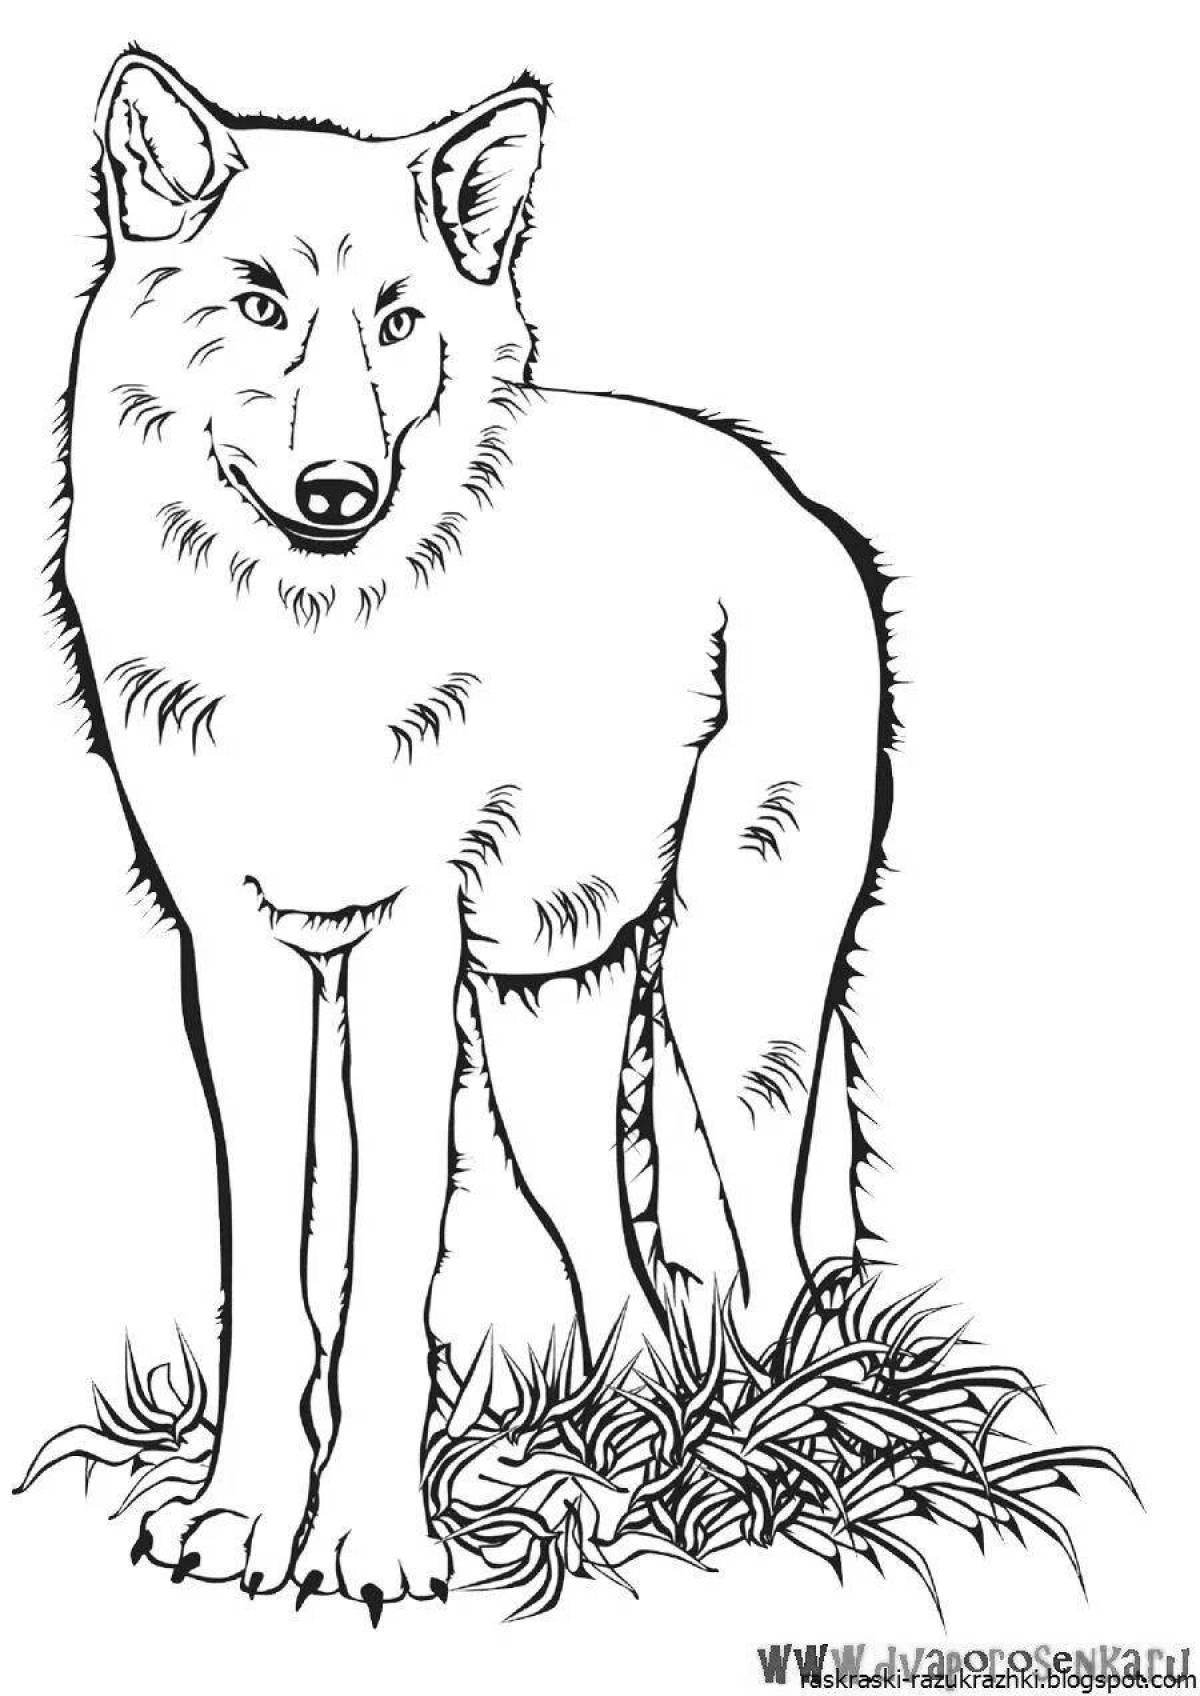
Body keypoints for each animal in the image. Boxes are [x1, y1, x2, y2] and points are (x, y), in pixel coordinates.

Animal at [54, 49, 890, 1614]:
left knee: (766, 1269)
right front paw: (243, 1518)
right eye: (258, 304)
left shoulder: (398, 955)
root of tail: (795, 502)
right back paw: (617, 1465)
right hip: (540, 1030)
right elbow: (274, 1269)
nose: (339, 492)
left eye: (399, 323)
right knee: (633, 1287)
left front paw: (371, 1542)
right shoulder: (238, 962)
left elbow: (384, 1276)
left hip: (730, 1007)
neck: (307, 651)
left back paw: (761, 1464)